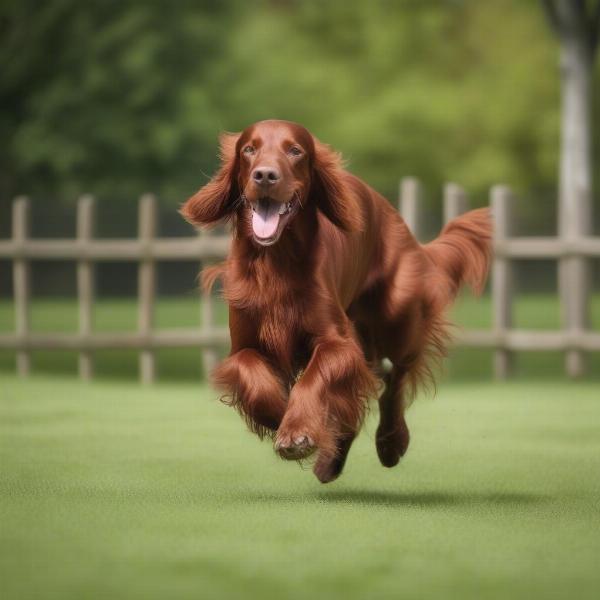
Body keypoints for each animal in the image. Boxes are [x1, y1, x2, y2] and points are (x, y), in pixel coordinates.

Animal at [180, 120, 490, 482]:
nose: (265, 176)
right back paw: (331, 459)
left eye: (295, 150)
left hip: (398, 320)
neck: (276, 262)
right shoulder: (244, 344)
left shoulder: (339, 343)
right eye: (249, 149)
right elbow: (251, 372)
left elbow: (315, 379)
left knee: (395, 379)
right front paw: (281, 417)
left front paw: (297, 431)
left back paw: (391, 442)